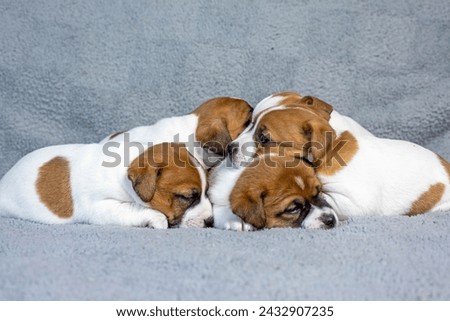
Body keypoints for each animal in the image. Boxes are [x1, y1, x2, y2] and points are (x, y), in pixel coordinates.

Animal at [0, 141, 213, 229]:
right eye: (187, 197)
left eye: (206, 192)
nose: (211, 221)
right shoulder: (100, 207)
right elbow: (137, 209)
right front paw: (157, 220)